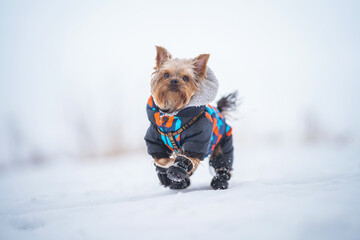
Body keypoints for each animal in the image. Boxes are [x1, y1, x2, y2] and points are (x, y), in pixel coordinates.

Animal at [144, 46, 236, 189]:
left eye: (186, 78)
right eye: (166, 75)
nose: (174, 80)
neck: (173, 115)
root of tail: (220, 112)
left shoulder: (198, 138)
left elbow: (188, 156)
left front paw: (176, 171)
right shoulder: (154, 138)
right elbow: (160, 158)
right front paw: (166, 170)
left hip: (224, 143)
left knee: (222, 163)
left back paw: (219, 182)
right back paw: (180, 182)